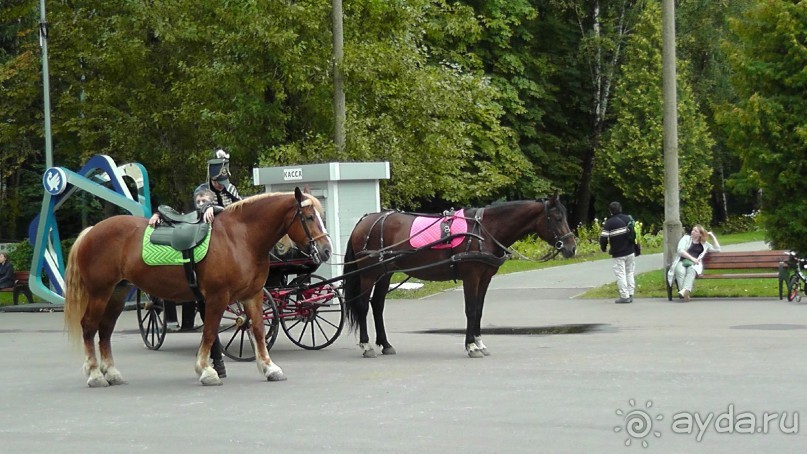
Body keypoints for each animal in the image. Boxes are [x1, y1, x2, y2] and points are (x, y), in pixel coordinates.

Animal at [64, 188, 332, 386]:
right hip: (100, 293)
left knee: (106, 330)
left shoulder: (253, 296)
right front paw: (206, 370)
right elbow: (211, 331)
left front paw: (269, 367)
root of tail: (92, 231)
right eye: (309, 217)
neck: (240, 238)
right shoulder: (217, 297)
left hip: (117, 293)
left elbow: (256, 329)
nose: (327, 250)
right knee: (89, 327)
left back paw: (111, 372)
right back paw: (95, 374)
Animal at [344, 195, 576, 358]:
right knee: (363, 305)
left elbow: (479, 310)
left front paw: (480, 343)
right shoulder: (471, 276)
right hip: (368, 273)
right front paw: (471, 346)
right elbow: (471, 310)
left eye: (565, 217)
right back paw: (366, 345)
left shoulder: (485, 277)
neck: (483, 231)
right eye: (557, 218)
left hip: (385, 273)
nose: (571, 248)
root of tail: (364, 221)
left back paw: (386, 344)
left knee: (377, 305)